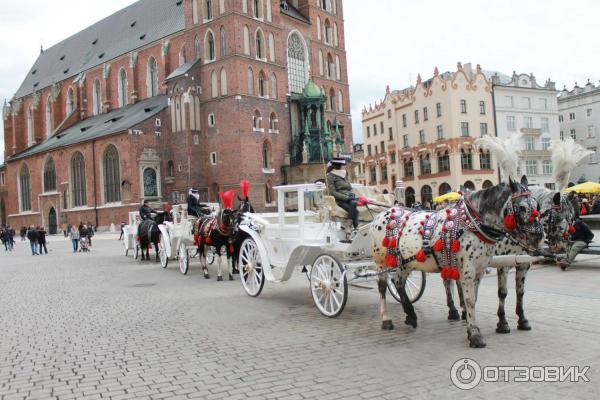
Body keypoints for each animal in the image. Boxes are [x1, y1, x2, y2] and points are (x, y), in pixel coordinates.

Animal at [370, 180, 544, 348]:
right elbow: (470, 300)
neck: (473, 224)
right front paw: (475, 334)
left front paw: (469, 327)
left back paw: (411, 316)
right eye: (521, 207)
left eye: (537, 206)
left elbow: (475, 298)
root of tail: (381, 215)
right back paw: (387, 319)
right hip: (381, 262)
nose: (538, 235)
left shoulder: (480, 270)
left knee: (398, 283)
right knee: (383, 286)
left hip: (405, 263)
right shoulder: (469, 270)